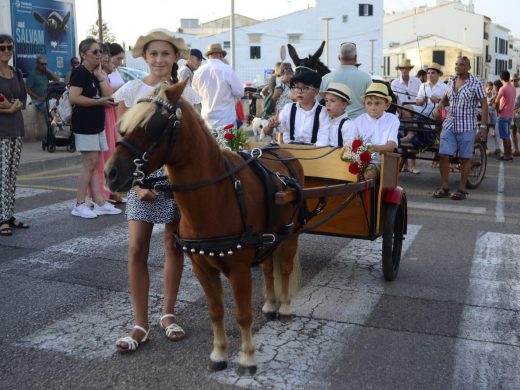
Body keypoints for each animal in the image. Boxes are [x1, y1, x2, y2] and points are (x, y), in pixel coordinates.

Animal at [105, 80, 304, 374]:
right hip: (270, 236)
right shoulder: (202, 267)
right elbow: (216, 311)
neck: (218, 192)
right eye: (122, 125)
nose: (110, 173)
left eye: (151, 125)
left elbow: (243, 314)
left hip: (290, 233)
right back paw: (270, 304)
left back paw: (287, 308)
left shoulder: (239, 268)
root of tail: (283, 151)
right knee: (269, 268)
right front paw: (219, 354)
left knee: (286, 268)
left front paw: (247, 357)